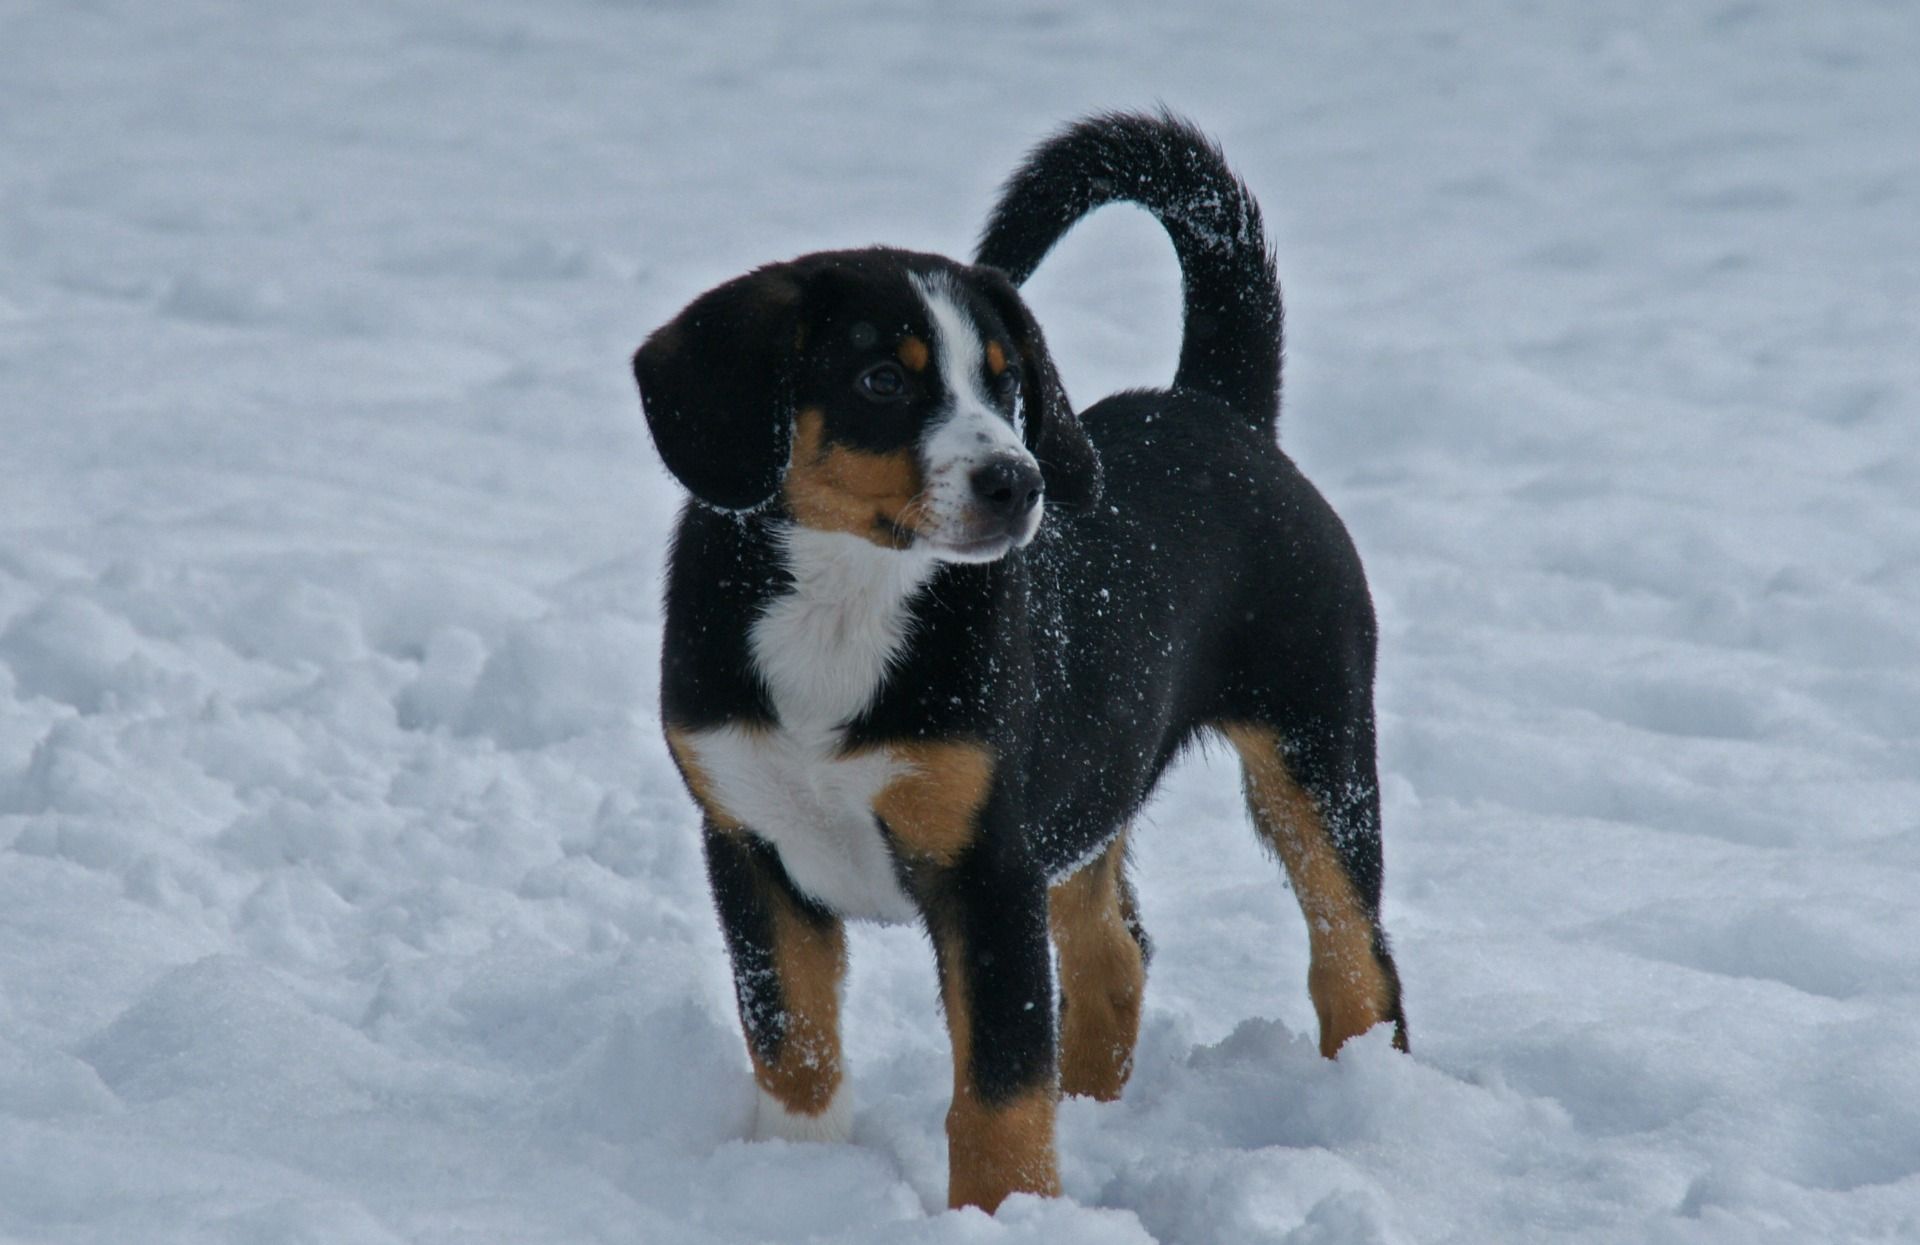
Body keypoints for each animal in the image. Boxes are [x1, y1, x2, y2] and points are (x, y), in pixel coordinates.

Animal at [637, 111, 1405, 1214]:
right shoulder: (748, 843)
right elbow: (794, 1044)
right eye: (881, 379)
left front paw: (1007, 1213)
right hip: (1096, 786)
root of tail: (1219, 408)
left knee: (1353, 957)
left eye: (1006, 380)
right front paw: (798, 1180)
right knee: (1114, 955)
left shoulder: (986, 868)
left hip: (1315, 746)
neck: (846, 596)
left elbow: (999, 1088)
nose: (1019, 479)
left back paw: (1366, 1110)